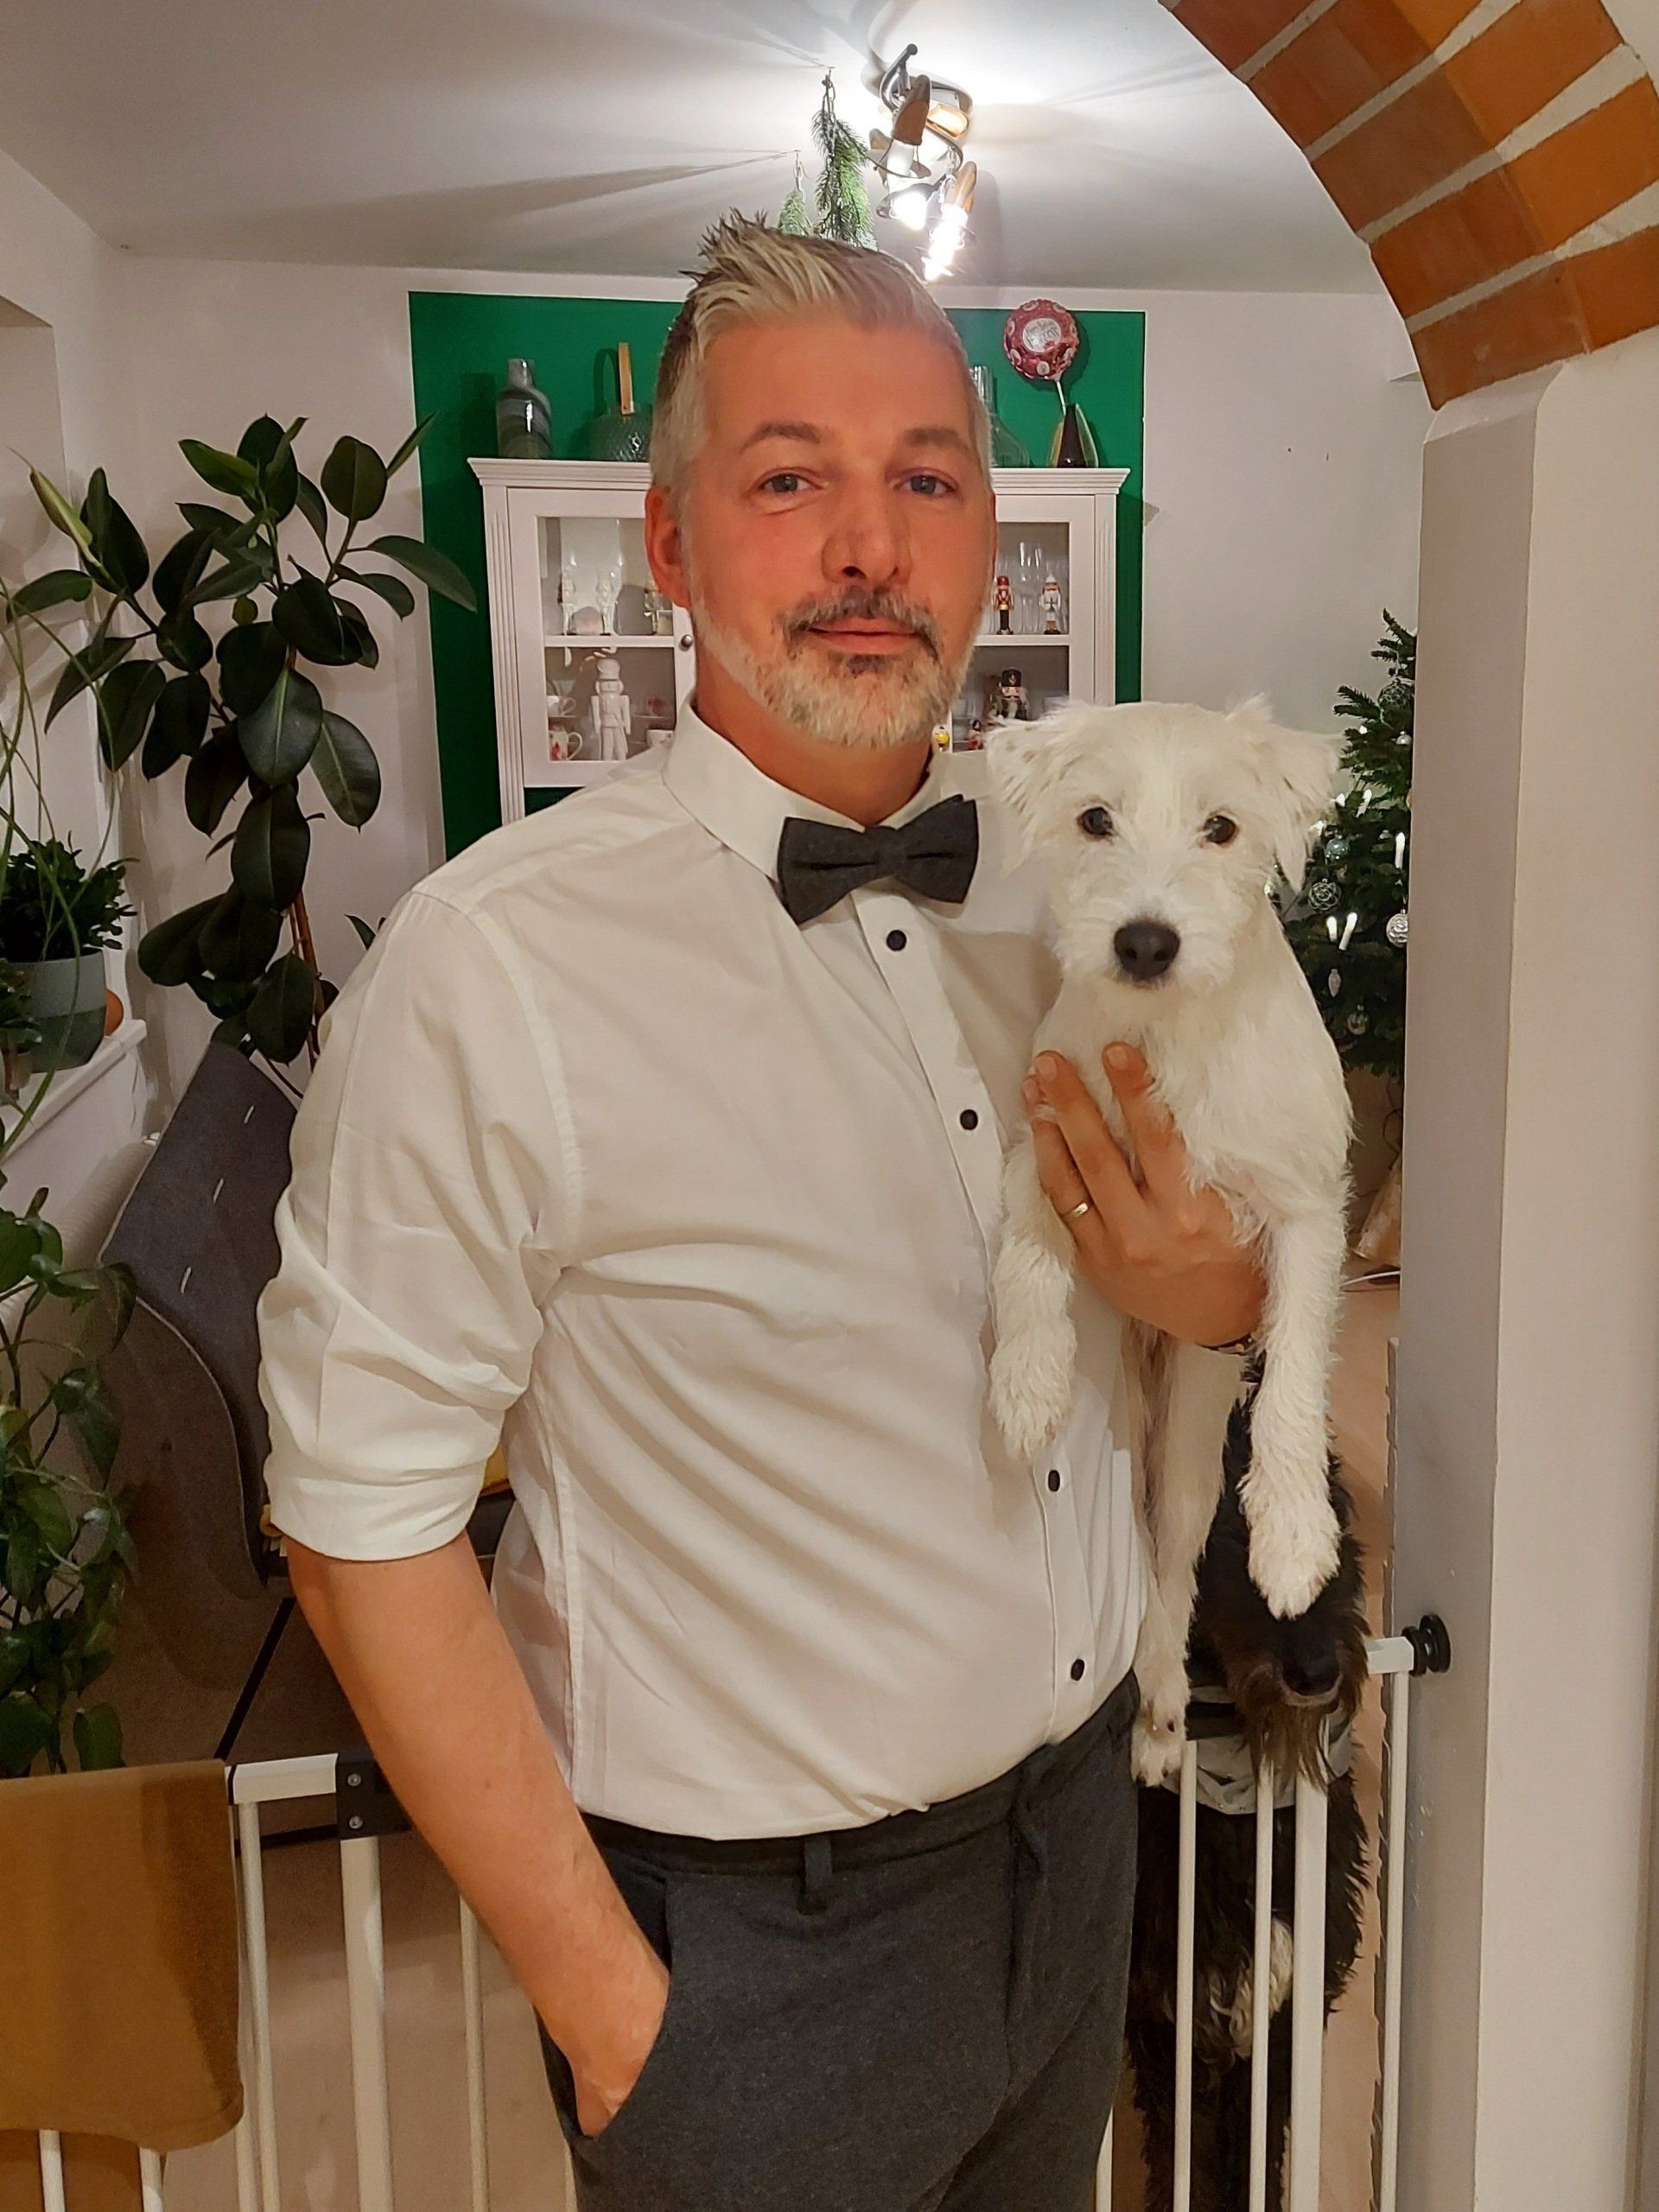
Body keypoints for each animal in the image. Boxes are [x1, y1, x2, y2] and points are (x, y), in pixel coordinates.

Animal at [984, 700, 1352, 1782]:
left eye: (1221, 828)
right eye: (1094, 819)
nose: (1145, 942)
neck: (1166, 1040)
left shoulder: (1306, 1212)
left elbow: (1295, 1377)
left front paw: (1292, 1536)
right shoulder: (1045, 1138)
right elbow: (1027, 1256)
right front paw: (1028, 1381)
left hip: (1193, 1426)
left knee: (1171, 1553)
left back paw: (1157, 1709)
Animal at [1125, 1407, 1370, 2212]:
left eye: (1330, 1515)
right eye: (1216, 1537)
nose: (1316, 1672)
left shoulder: (1286, 2018)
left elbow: (1258, 2154)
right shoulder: (1167, 2024)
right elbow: (1187, 2163)